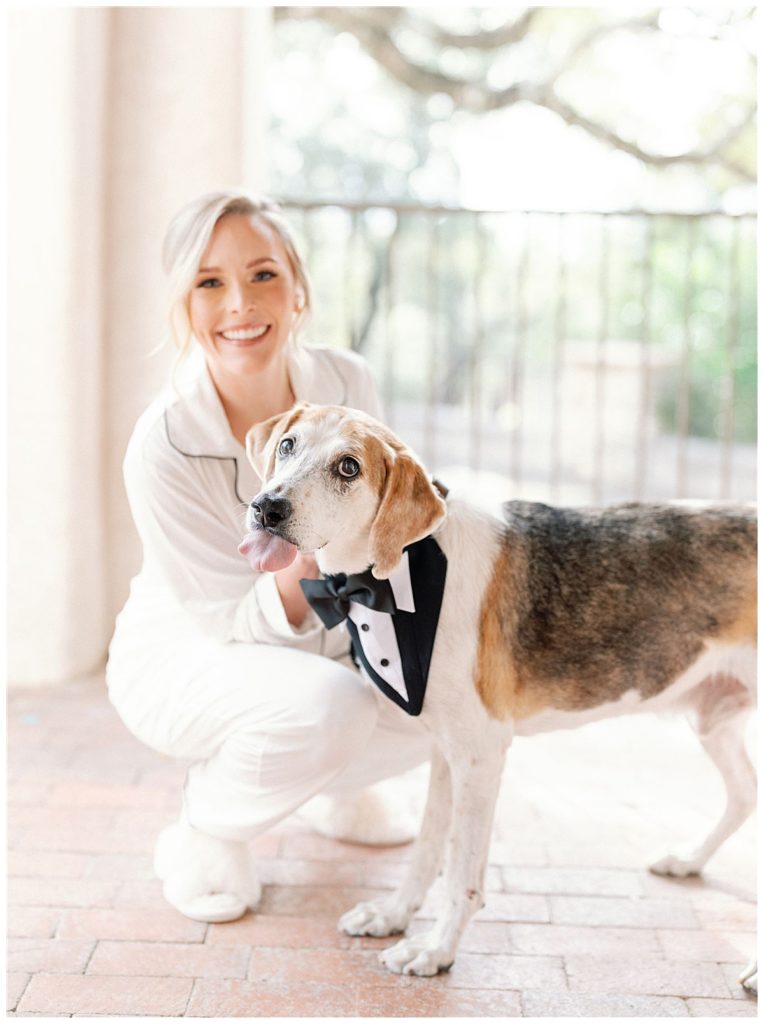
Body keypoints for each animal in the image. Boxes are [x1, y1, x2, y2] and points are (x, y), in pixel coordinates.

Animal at [239, 397, 757, 983]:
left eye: (348, 468)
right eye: (288, 445)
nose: (266, 507)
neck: (402, 570)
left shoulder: (480, 754)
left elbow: (462, 870)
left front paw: (436, 950)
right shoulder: (446, 751)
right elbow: (427, 852)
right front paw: (394, 916)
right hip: (714, 719)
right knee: (745, 793)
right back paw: (690, 859)